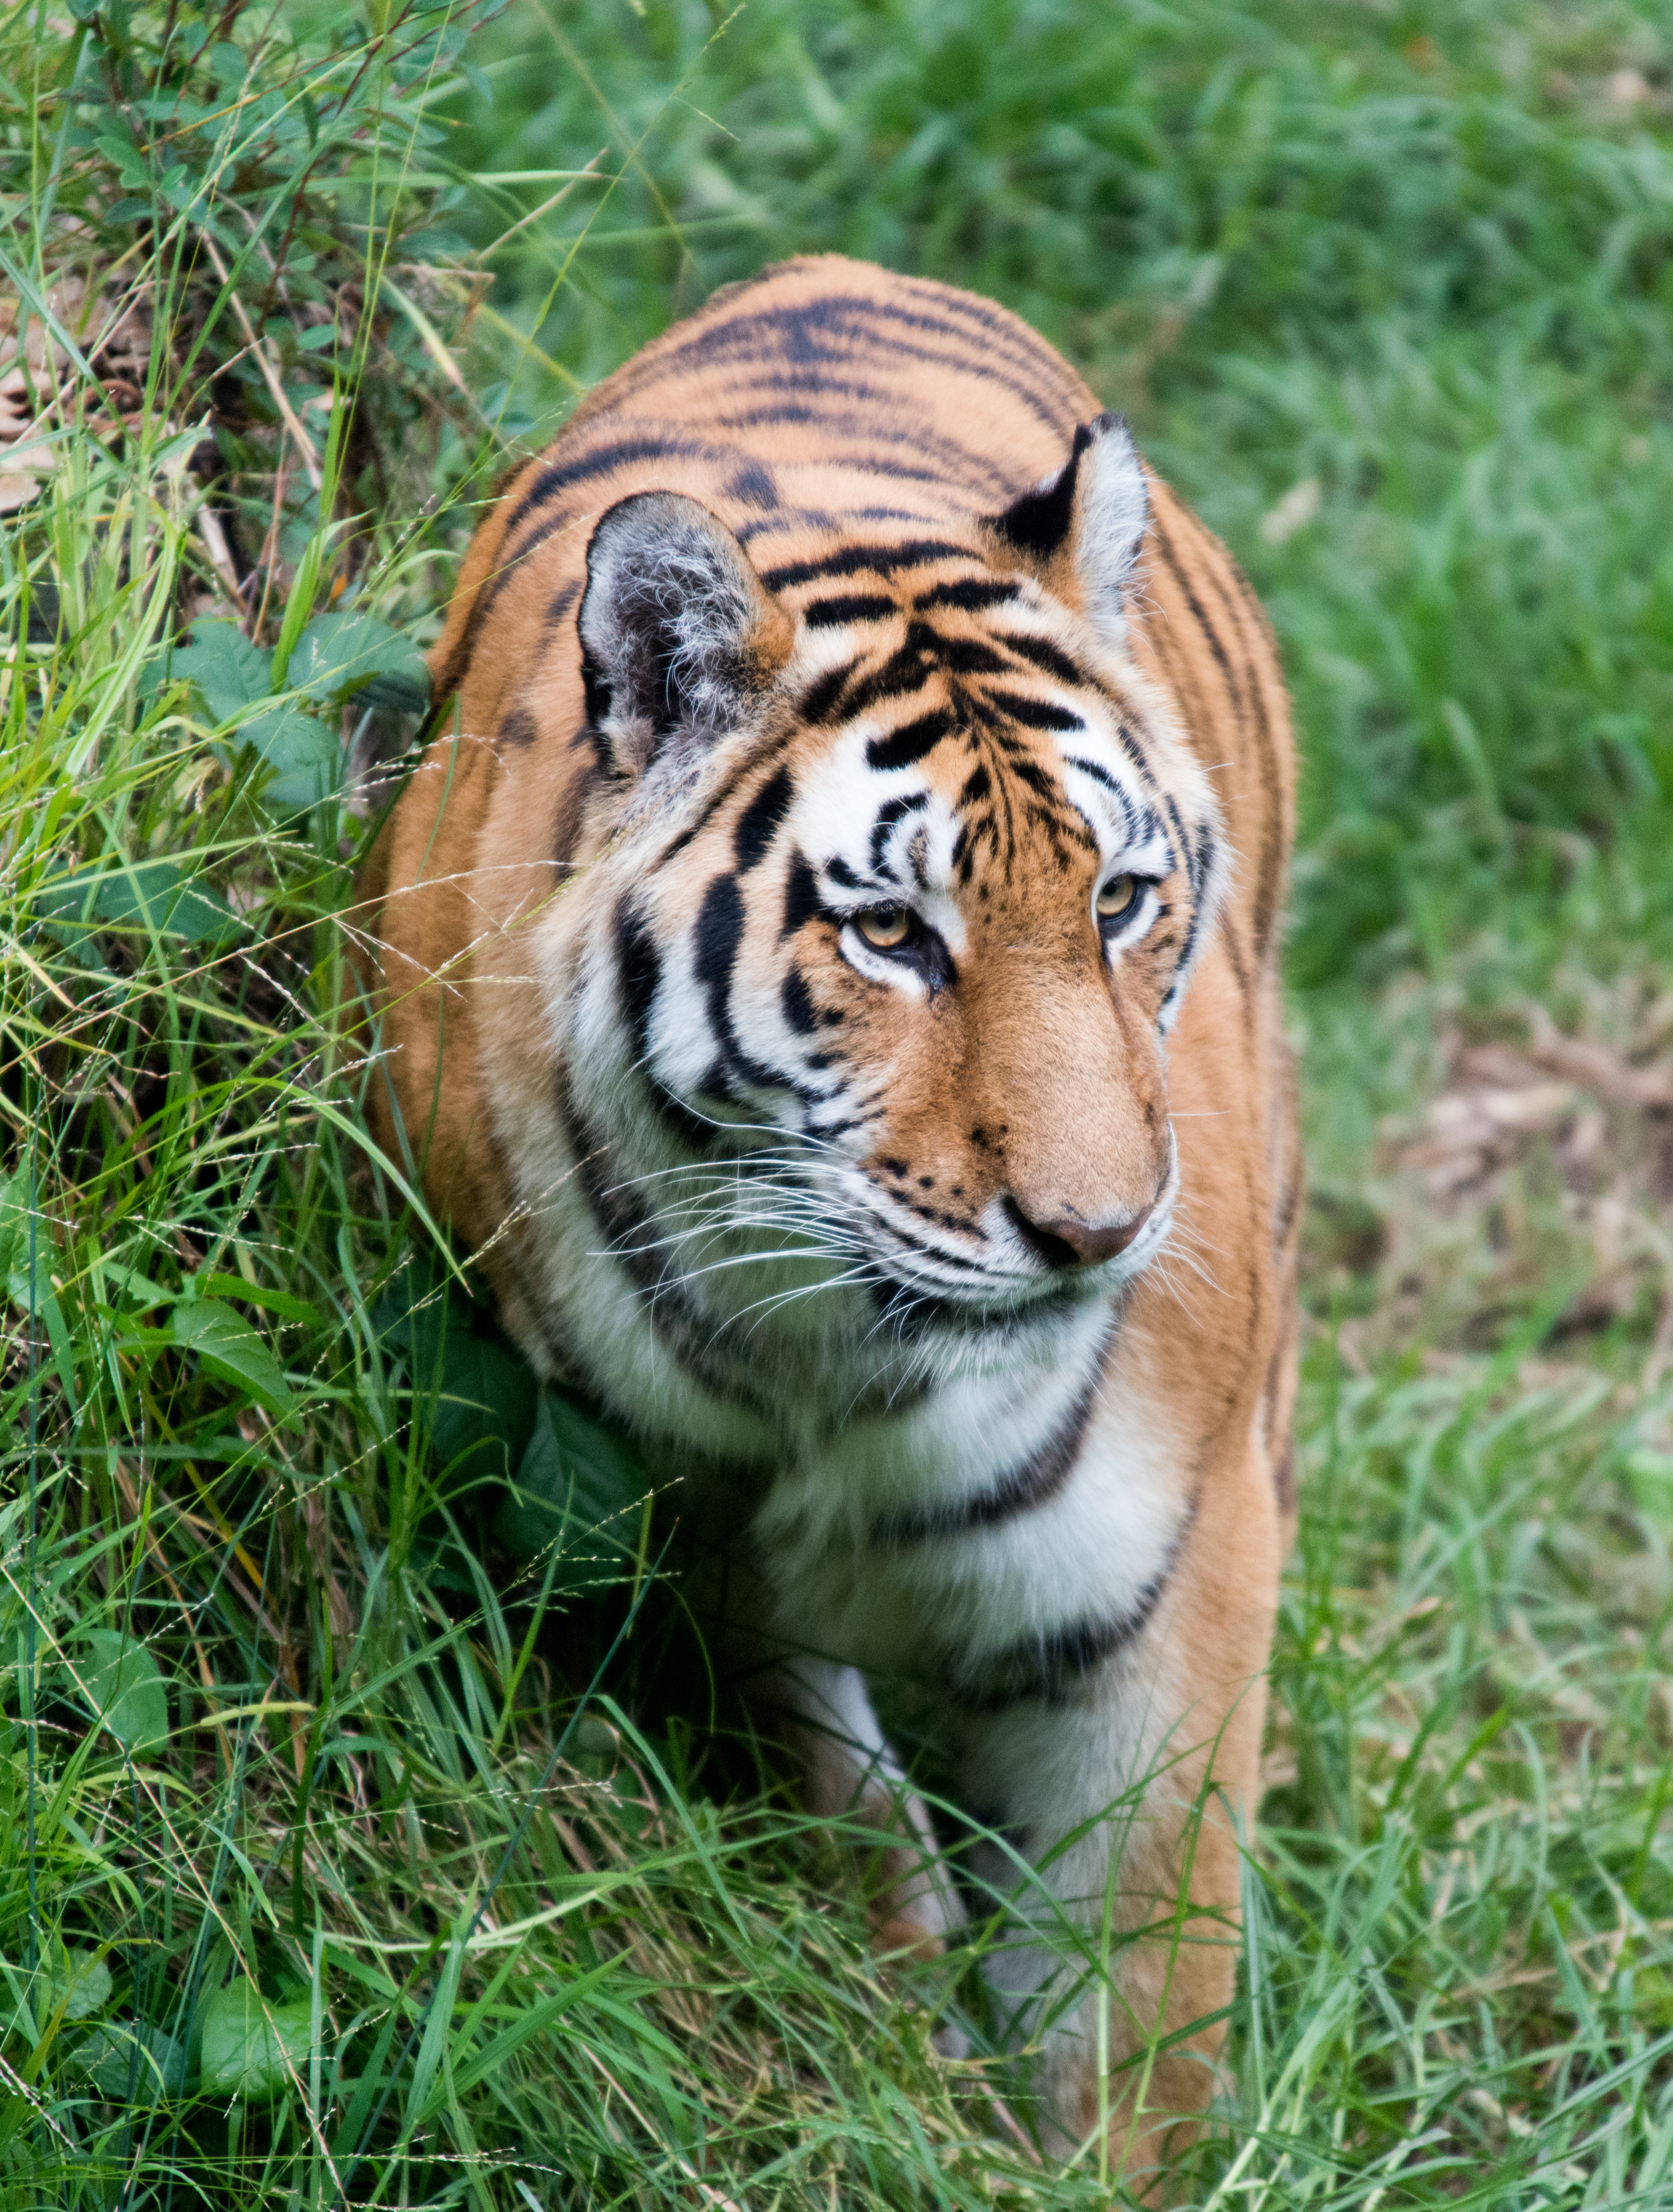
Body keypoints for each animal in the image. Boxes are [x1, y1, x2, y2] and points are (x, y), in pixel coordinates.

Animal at [362, 254, 1308, 2177]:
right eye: (892, 936)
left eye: (1120, 899)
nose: (1100, 1234)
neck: (853, 1359)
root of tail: (837, 269)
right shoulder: (679, 1504)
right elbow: (829, 1782)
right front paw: (896, 2006)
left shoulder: (1177, 1570)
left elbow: (1140, 1986)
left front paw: (1090, 2162)